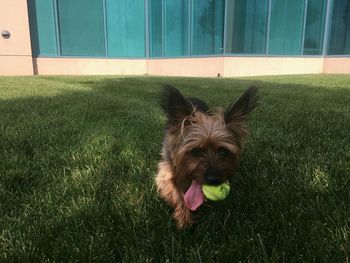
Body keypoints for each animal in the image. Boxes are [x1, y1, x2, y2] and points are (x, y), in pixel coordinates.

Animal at [156, 86, 258, 229]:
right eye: (195, 151)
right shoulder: (166, 172)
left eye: (223, 151)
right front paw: (184, 218)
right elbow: (177, 193)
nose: (213, 179)